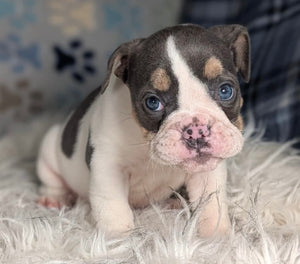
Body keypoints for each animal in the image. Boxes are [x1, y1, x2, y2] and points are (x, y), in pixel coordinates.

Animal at [36, 23, 250, 236]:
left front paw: (216, 236)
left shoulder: (207, 172)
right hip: (49, 148)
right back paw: (55, 198)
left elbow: (211, 206)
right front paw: (118, 238)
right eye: (152, 102)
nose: (196, 130)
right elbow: (113, 207)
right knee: (52, 180)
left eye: (226, 90)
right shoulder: (107, 165)